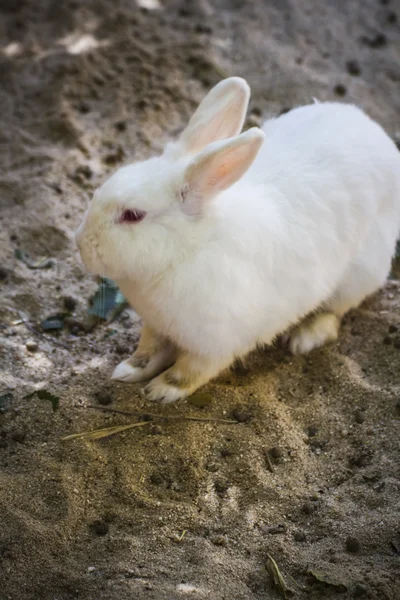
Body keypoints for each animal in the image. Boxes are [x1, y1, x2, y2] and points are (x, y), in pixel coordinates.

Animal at [75, 76, 400, 404]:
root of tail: (379, 138)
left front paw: (161, 390)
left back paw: (304, 337)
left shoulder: (214, 344)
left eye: (132, 215)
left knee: (334, 313)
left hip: (355, 278)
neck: (186, 250)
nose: (80, 244)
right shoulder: (156, 326)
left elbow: (191, 370)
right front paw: (128, 370)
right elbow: (149, 350)